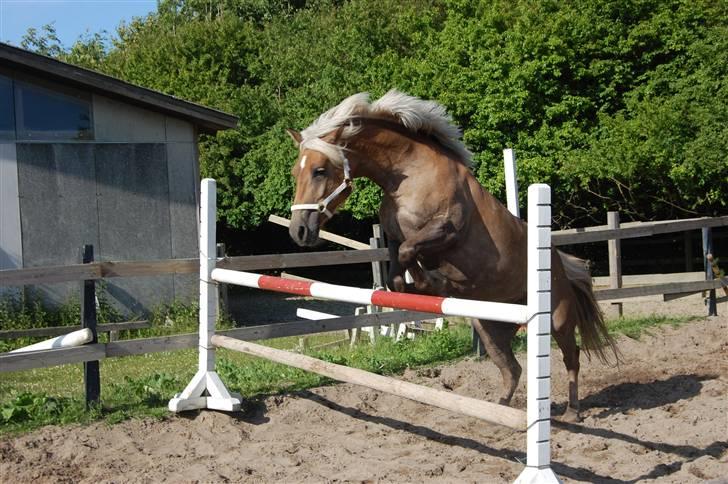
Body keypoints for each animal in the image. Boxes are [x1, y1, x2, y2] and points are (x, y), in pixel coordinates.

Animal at [288, 90, 616, 420]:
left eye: (319, 170)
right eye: (295, 172)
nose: (298, 231)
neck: (409, 177)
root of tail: (560, 262)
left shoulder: (446, 230)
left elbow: (411, 255)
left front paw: (432, 283)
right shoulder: (394, 236)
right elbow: (397, 274)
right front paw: (426, 287)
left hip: (557, 319)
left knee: (571, 356)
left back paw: (572, 412)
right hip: (490, 328)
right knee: (511, 368)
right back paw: (500, 410)